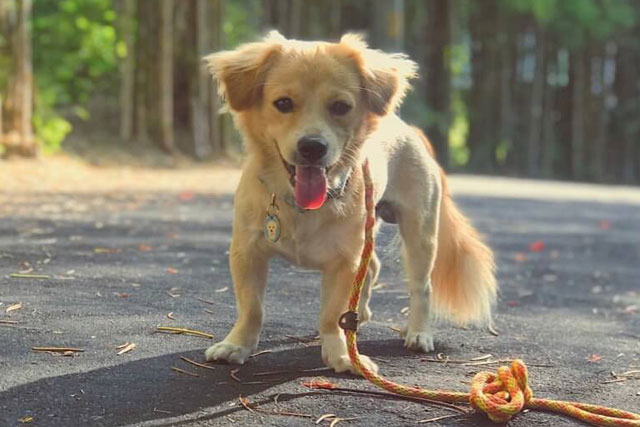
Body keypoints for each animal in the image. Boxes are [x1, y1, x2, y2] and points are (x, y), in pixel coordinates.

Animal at [202, 31, 498, 376]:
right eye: (283, 103)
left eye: (340, 107)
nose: (313, 147)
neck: (302, 205)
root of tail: (407, 128)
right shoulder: (247, 252)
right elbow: (252, 308)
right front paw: (237, 345)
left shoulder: (344, 261)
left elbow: (331, 314)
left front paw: (341, 354)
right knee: (373, 266)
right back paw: (360, 315)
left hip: (420, 233)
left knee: (420, 286)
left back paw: (417, 332)